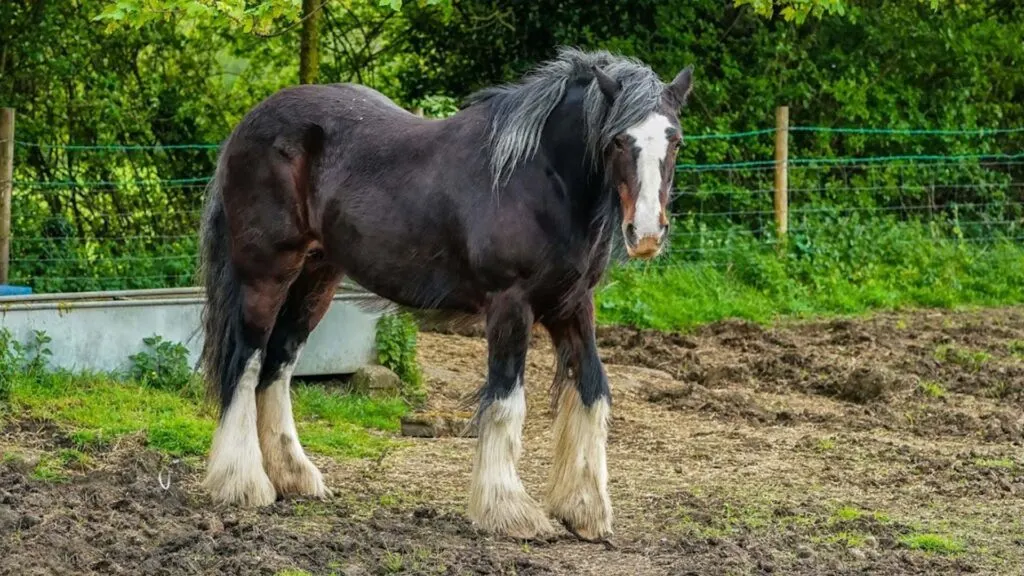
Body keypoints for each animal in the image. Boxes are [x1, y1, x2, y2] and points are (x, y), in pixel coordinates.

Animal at [195, 47, 692, 541]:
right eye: (617, 141)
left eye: (676, 141)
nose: (646, 233)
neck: (538, 177)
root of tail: (250, 122)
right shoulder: (510, 305)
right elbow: (506, 401)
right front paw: (509, 511)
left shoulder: (572, 305)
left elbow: (593, 391)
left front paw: (584, 509)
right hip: (266, 273)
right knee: (246, 361)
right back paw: (243, 482)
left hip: (316, 277)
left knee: (278, 365)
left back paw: (294, 476)